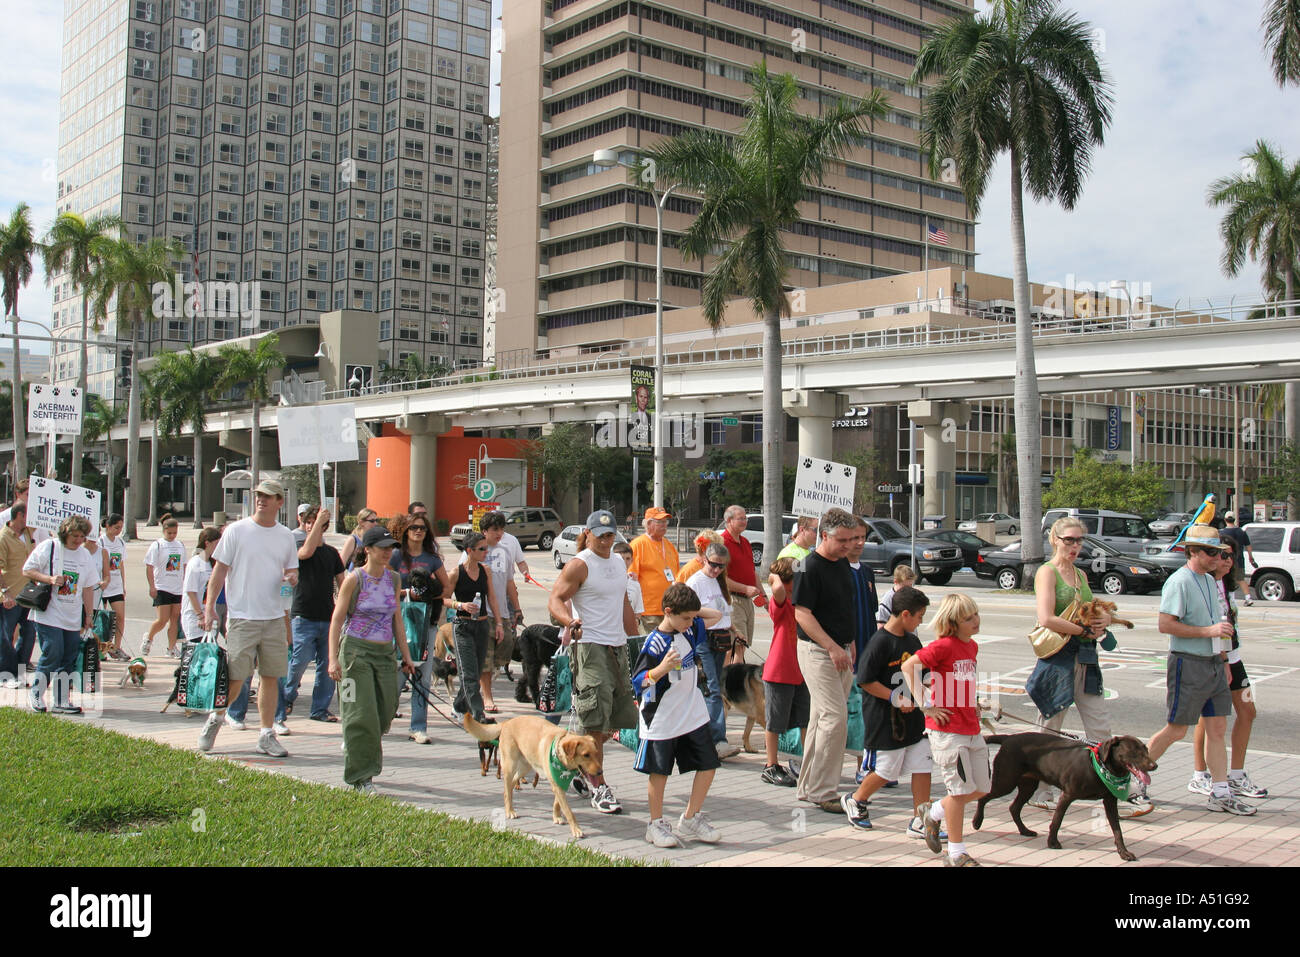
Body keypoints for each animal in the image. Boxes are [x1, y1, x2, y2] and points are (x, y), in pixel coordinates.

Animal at [465, 712, 600, 842]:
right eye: (586, 755)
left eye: (596, 753)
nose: (600, 772)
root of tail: (507, 721)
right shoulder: (557, 784)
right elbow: (568, 811)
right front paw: (576, 829)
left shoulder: (560, 783)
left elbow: (557, 803)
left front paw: (556, 817)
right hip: (510, 765)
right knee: (507, 790)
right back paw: (509, 811)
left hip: (525, 767)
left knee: (511, 785)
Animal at [977, 738, 1159, 863]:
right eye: (1134, 752)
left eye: (1146, 750)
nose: (1154, 765)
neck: (1099, 767)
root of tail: (1008, 738)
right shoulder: (1067, 795)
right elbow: (1057, 821)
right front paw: (1052, 842)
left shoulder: (1109, 802)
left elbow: (1117, 830)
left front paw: (1123, 852)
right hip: (1005, 782)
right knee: (984, 797)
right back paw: (977, 821)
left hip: (1028, 785)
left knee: (1014, 808)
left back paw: (1024, 830)